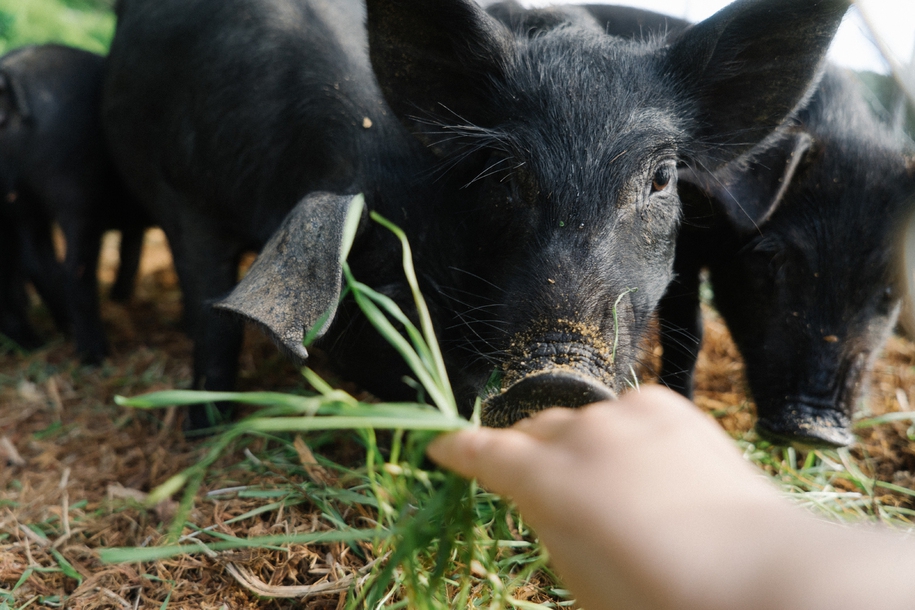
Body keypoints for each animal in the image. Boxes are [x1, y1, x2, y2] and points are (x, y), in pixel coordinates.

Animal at [104, 0, 848, 428]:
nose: (557, 376)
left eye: (663, 177)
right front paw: (207, 427)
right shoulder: (185, 199)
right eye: (502, 174)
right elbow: (212, 317)